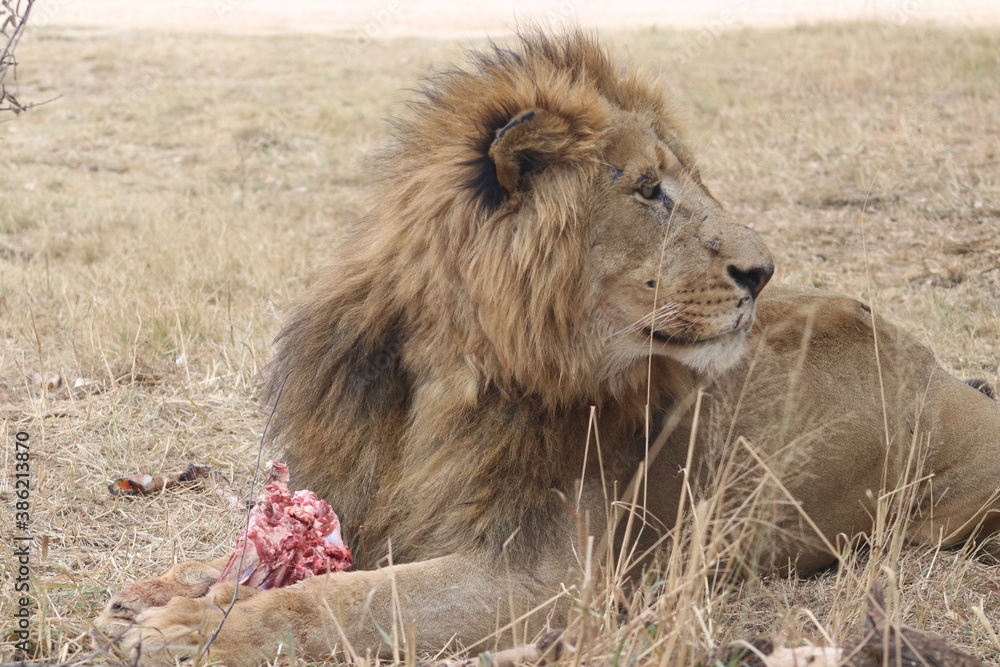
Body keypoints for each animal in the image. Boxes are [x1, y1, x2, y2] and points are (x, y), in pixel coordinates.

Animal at [94, 31, 1000, 665]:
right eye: (649, 189)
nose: (762, 271)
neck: (450, 374)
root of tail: (954, 384)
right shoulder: (360, 497)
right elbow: (262, 562)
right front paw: (163, 589)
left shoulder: (550, 580)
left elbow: (349, 601)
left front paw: (193, 629)